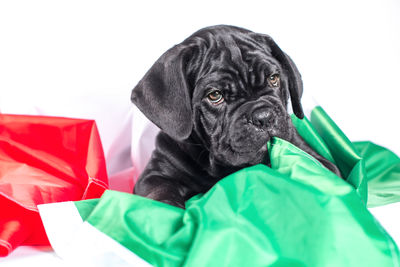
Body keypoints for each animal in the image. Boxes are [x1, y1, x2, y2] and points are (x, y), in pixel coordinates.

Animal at [131, 25, 340, 208]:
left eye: (273, 78)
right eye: (215, 95)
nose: (263, 116)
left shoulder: (308, 153)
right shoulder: (155, 174)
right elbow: (160, 193)